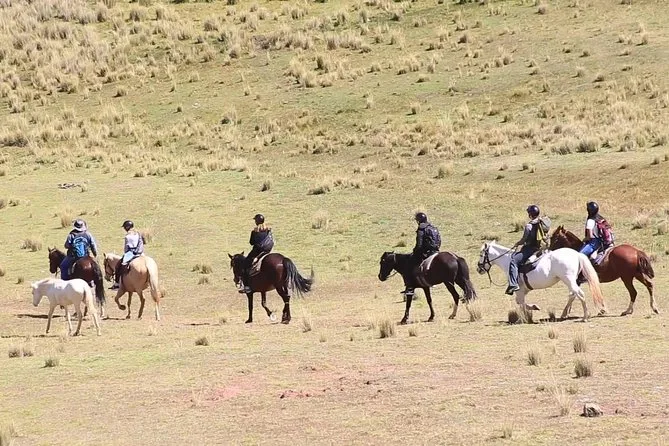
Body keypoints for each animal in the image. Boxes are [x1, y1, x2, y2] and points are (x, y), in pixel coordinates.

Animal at [476, 241, 606, 321]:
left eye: (481, 254)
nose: (479, 269)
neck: (508, 261)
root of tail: (577, 254)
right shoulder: (524, 290)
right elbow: (520, 302)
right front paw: (532, 309)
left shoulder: (518, 289)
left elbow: (521, 303)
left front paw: (526, 315)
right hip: (572, 281)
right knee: (573, 294)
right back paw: (565, 314)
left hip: (568, 280)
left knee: (580, 294)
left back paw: (585, 317)